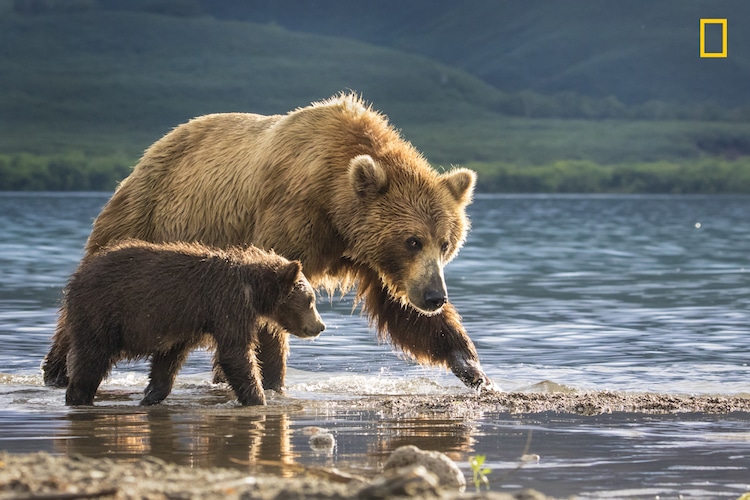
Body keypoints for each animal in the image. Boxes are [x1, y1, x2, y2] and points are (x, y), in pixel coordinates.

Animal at [44, 93, 496, 390]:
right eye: (412, 240)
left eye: (446, 243)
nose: (435, 295)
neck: (336, 203)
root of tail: (151, 151)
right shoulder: (292, 216)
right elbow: (273, 308)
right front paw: (275, 381)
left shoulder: (368, 255)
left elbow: (402, 311)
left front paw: (472, 367)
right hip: (143, 217)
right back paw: (58, 369)